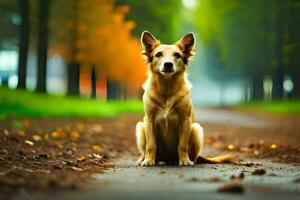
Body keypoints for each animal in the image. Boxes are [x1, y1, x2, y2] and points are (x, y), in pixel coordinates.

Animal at [137, 31, 231, 166]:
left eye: (177, 55)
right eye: (158, 54)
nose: (168, 64)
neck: (167, 89)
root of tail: (169, 159)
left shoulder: (185, 121)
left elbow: (182, 145)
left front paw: (184, 160)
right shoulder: (149, 120)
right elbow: (150, 145)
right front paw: (149, 160)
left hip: (196, 129)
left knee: (194, 155)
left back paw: (186, 160)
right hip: (140, 127)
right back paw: (152, 160)